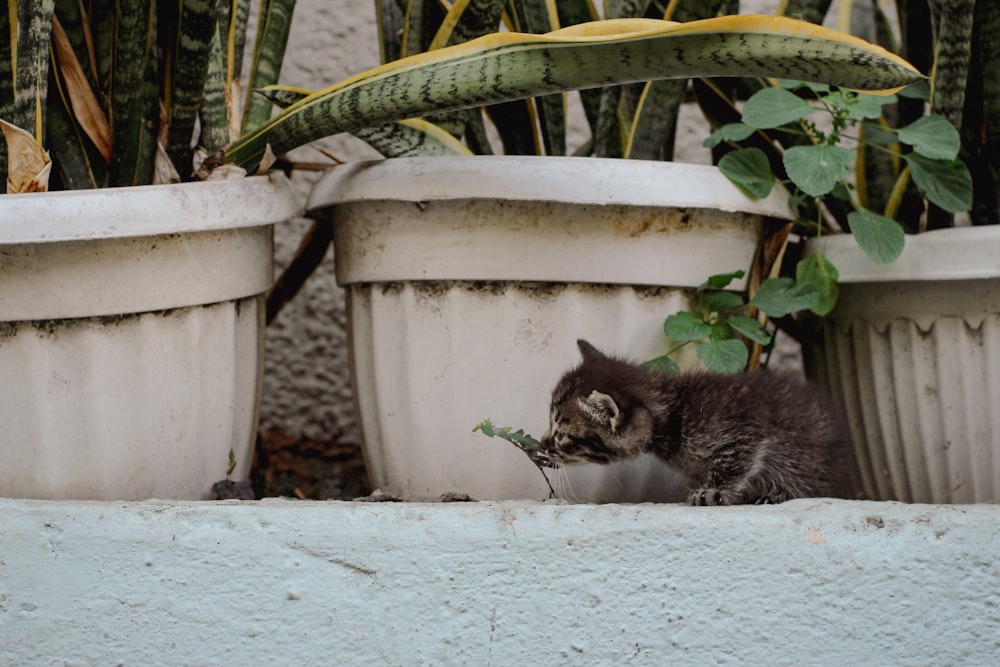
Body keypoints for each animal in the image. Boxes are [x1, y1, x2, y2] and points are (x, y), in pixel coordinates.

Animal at [540, 340, 844, 506]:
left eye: (562, 435)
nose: (542, 444)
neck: (674, 411)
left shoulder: (746, 424)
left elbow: (737, 459)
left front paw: (712, 491)